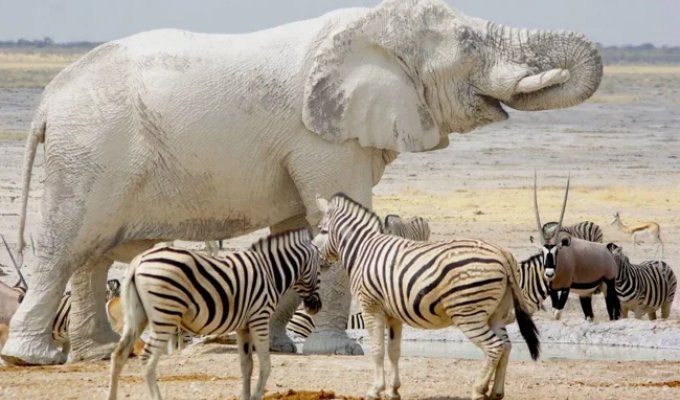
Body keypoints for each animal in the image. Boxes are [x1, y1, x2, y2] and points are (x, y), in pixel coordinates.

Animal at [2, 0, 602, 365]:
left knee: (93, 254)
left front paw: (281, 348)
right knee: (65, 247)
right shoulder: (322, 134)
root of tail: (48, 99)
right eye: (471, 45)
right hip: (90, 151)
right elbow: (330, 217)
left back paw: (98, 354)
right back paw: (35, 357)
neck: (368, 28)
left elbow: (297, 230)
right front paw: (339, 353)